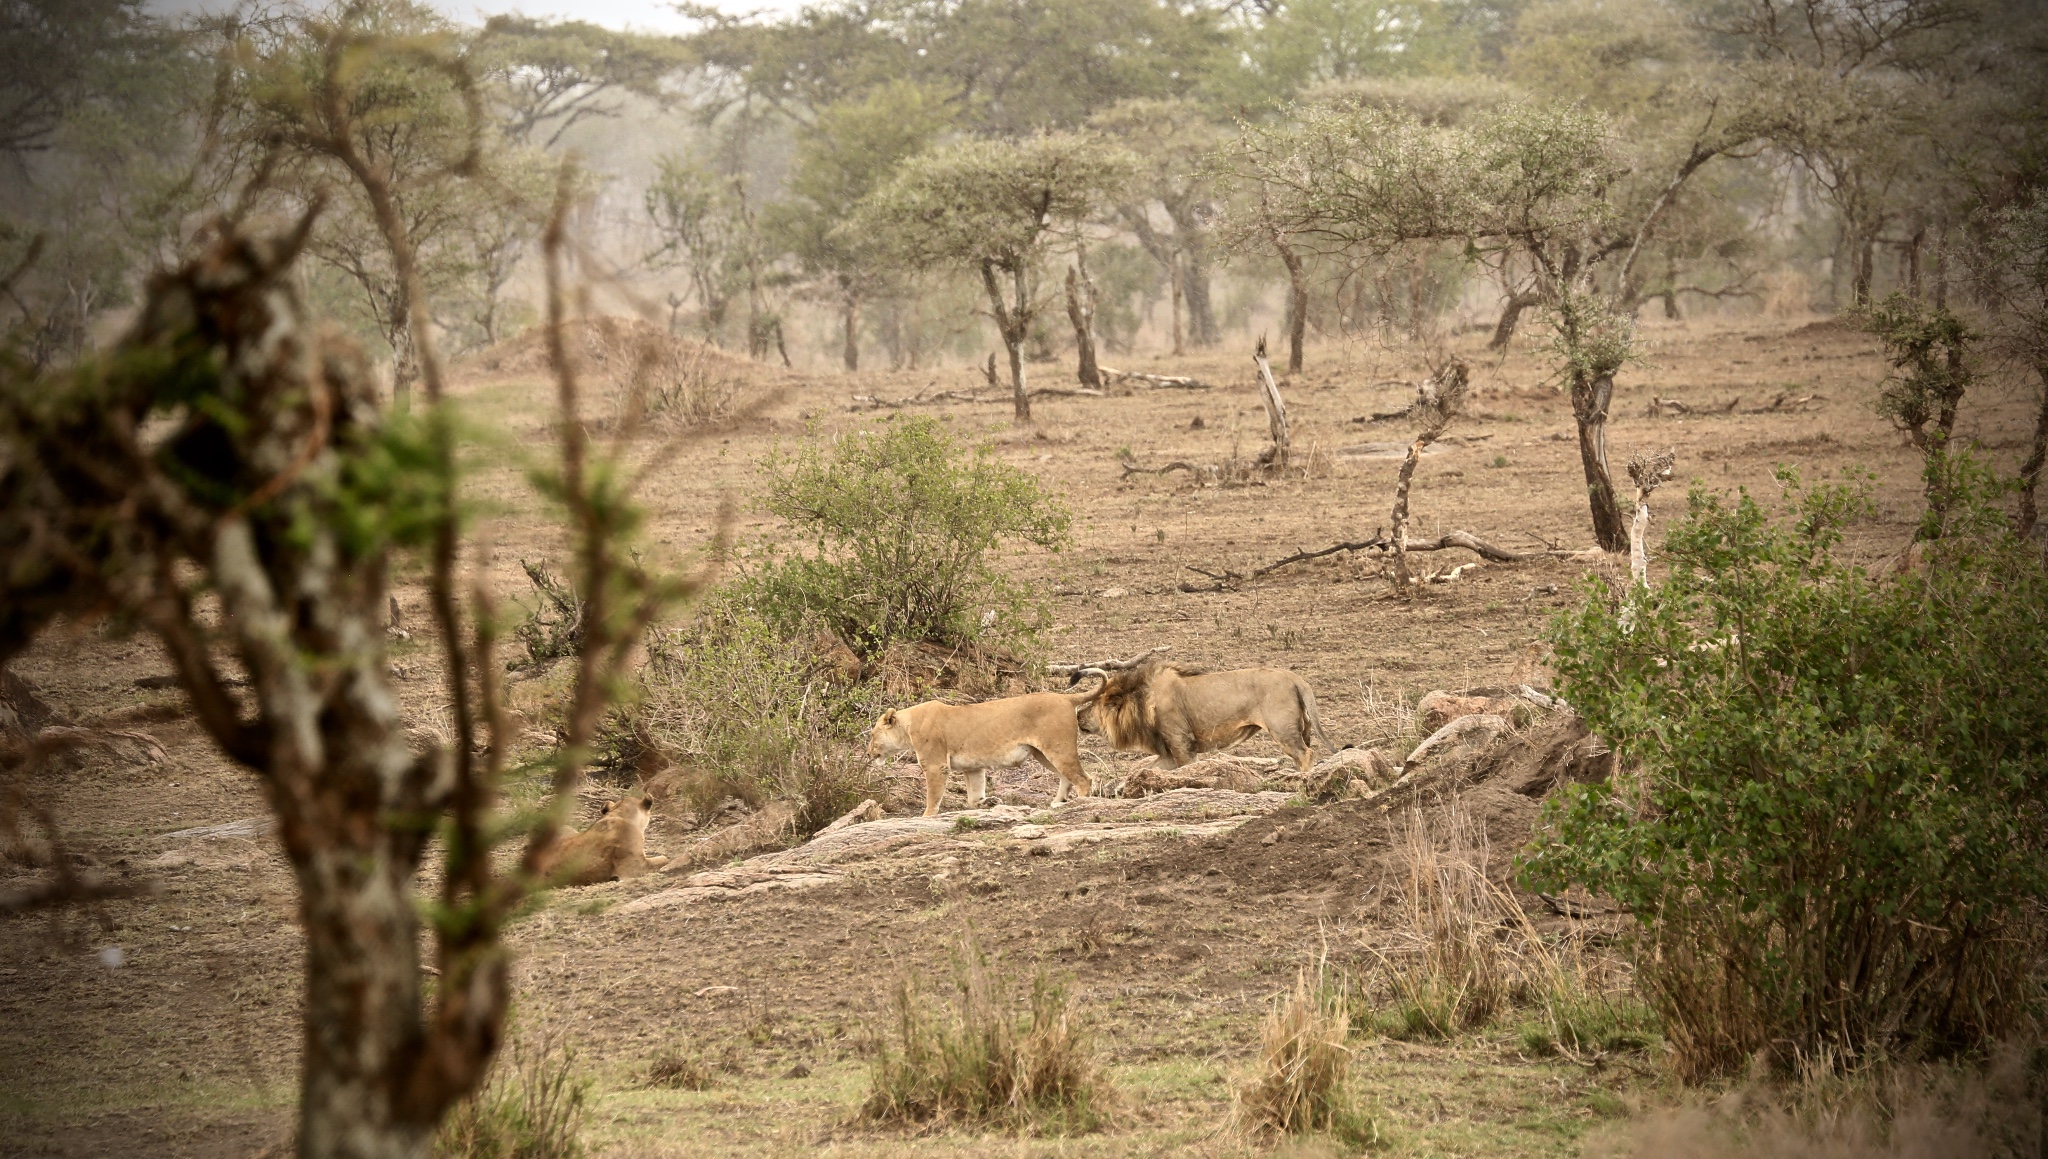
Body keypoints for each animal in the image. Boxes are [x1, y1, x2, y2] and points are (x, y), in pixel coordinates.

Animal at [860, 692, 1097, 819]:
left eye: (872, 735)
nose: (868, 753)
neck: (908, 725)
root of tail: (1065, 697)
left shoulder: (936, 765)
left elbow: (933, 796)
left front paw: (926, 816)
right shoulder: (973, 768)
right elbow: (974, 798)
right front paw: (988, 802)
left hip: (1058, 749)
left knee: (1084, 779)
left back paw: (1079, 804)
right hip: (1044, 754)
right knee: (1066, 776)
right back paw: (1058, 803)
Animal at [1081, 663, 1335, 774]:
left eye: (1092, 704)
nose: (1077, 714)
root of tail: (1295, 678)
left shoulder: (1183, 745)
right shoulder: (1169, 753)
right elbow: (1142, 772)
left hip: (1282, 729)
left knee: (1306, 754)